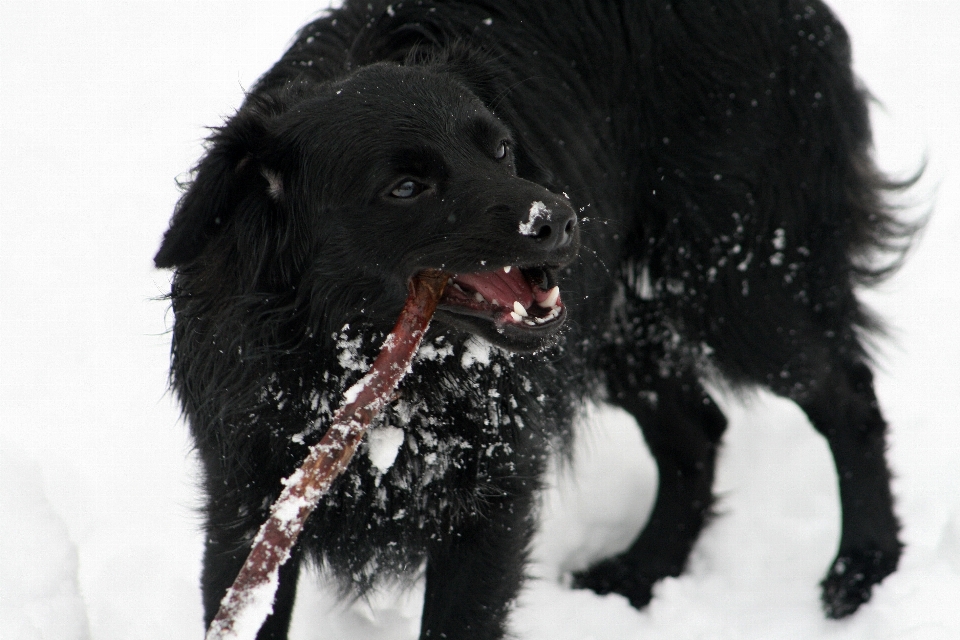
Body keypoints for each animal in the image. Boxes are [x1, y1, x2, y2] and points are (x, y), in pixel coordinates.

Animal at [158, 2, 916, 636]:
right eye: (406, 187)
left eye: (498, 148)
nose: (560, 219)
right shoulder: (247, 510)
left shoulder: (493, 501)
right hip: (625, 328)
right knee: (698, 431)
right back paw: (643, 572)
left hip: (741, 282)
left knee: (847, 399)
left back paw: (864, 567)